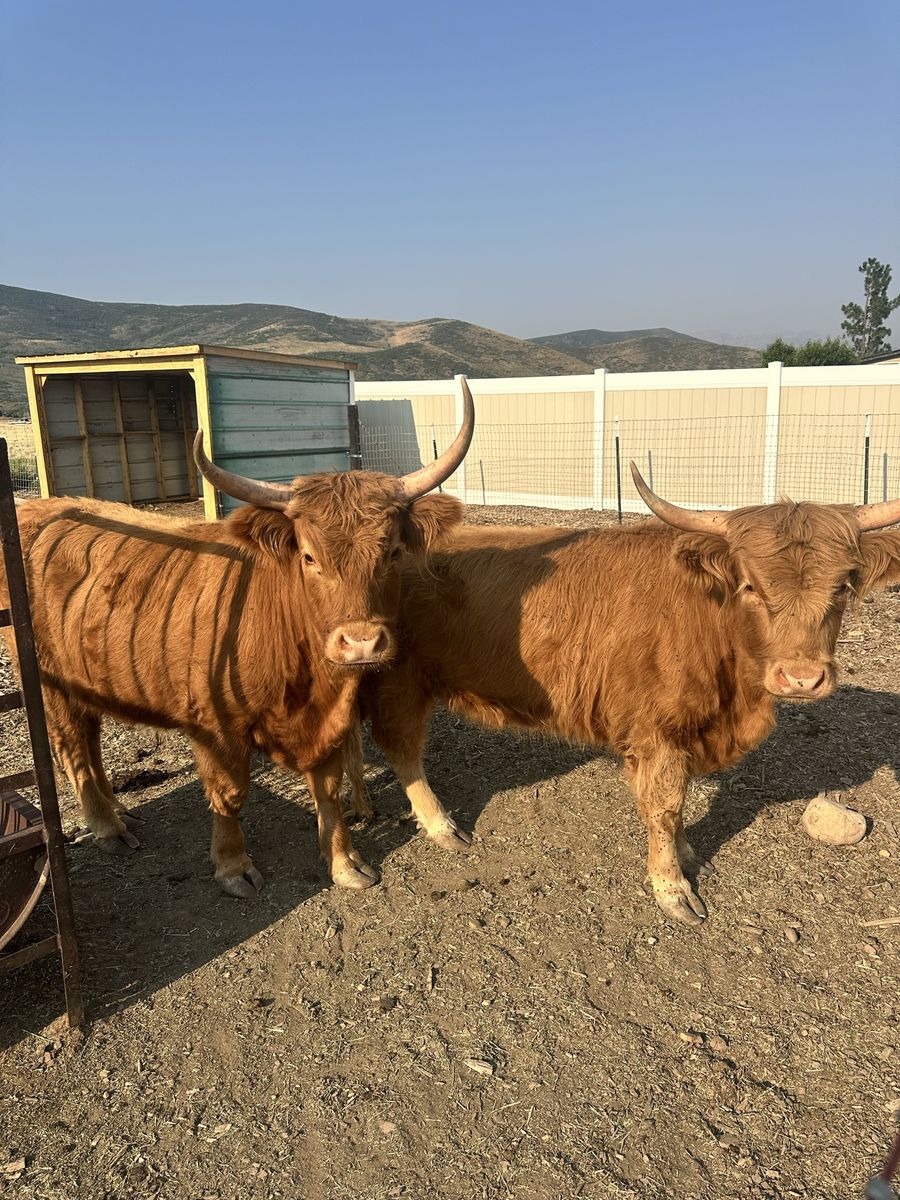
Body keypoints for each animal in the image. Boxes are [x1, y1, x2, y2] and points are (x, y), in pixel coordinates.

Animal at [0, 385, 472, 897]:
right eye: (309, 557)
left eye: (392, 553)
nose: (362, 643)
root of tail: (38, 509)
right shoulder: (215, 727)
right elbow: (229, 794)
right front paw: (232, 865)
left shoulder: (330, 721)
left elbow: (328, 790)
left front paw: (344, 861)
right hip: (49, 685)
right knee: (74, 750)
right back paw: (107, 828)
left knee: (90, 742)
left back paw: (120, 812)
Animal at [349, 464, 900, 925]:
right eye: (750, 586)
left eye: (843, 587)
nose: (802, 678)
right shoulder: (658, 733)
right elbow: (664, 806)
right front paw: (672, 886)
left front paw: (685, 853)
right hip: (397, 683)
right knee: (403, 751)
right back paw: (441, 825)